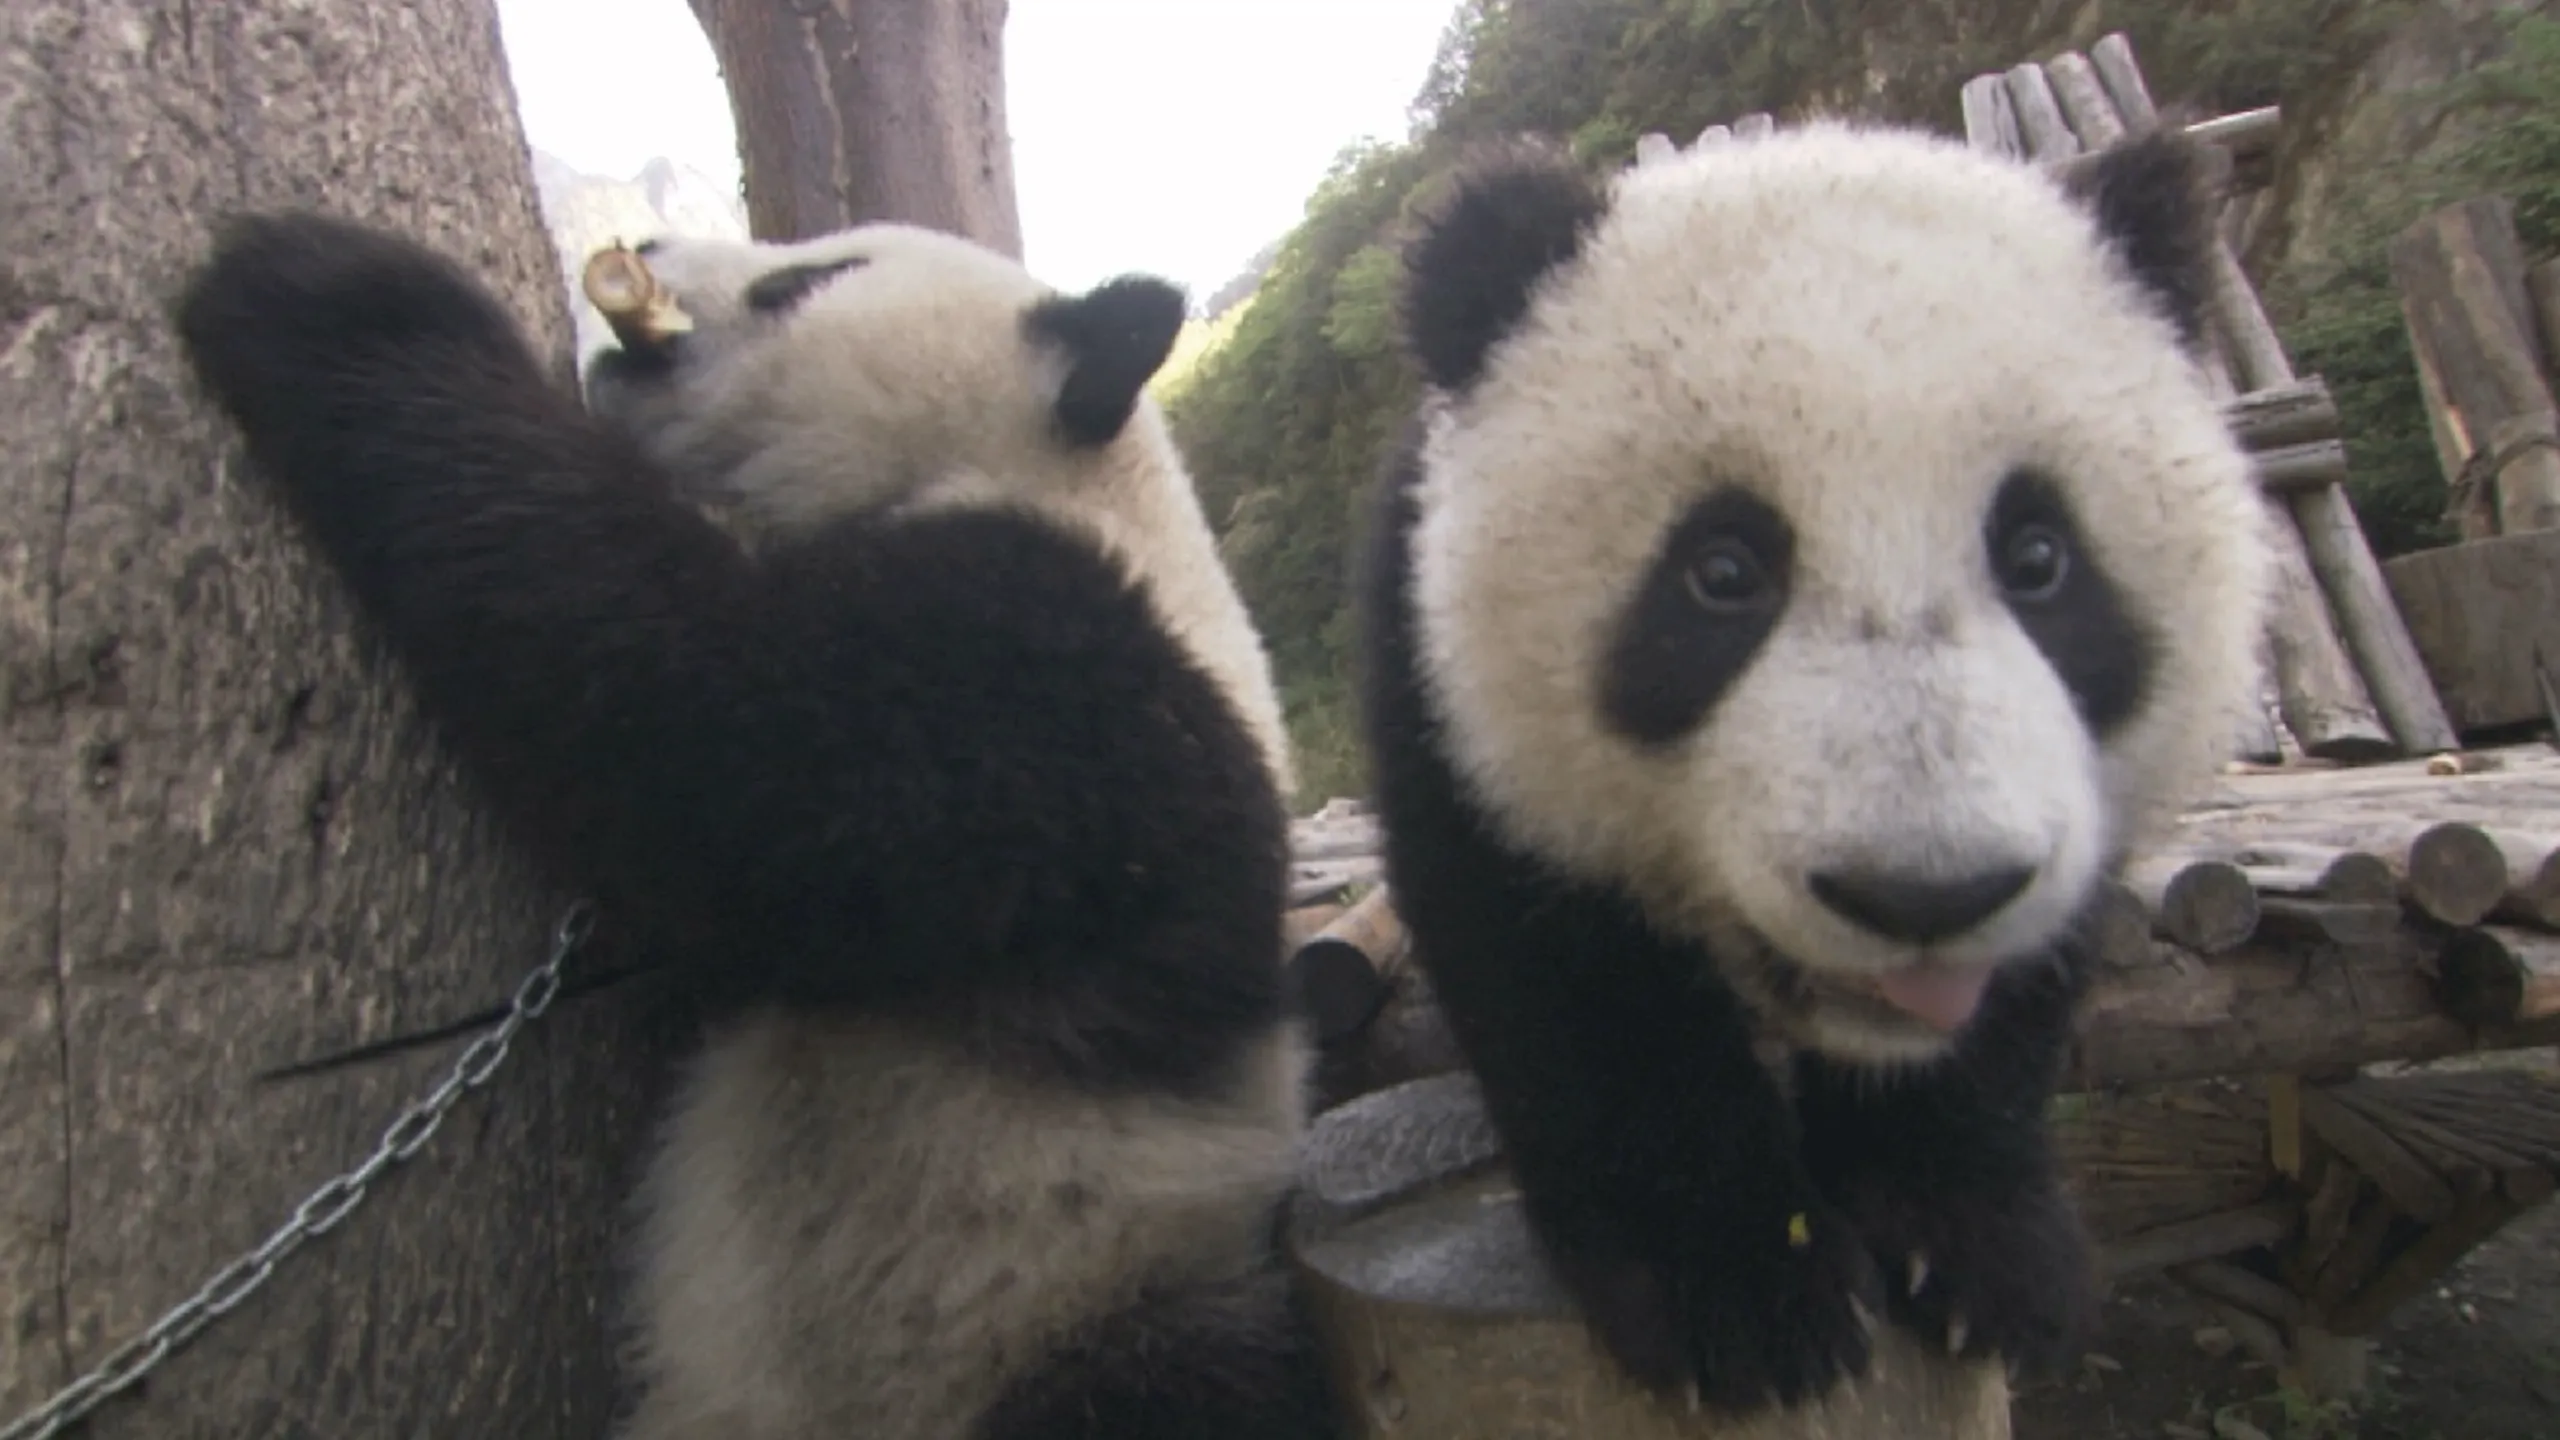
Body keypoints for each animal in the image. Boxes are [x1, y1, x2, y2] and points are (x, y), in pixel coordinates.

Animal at [173, 213, 1343, 1440]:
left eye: (806, 279)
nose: (640, 246)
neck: (1072, 467)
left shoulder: (1067, 687)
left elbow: (718, 733)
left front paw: (333, 289)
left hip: (1087, 1299)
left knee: (1182, 1382)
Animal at [1355, 122, 2275, 1416]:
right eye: (1722, 572)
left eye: (2040, 556)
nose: (1922, 896)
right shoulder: (1439, 681)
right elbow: (1562, 965)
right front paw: (1745, 1292)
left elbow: (2023, 977)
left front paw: (1969, 1248)